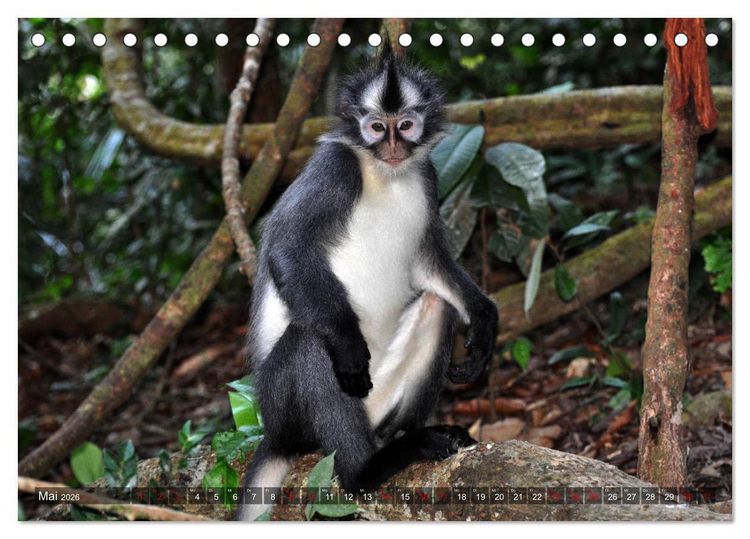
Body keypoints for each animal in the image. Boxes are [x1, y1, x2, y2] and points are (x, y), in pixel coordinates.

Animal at [236, 45, 498, 521]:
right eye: (376, 127)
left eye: (405, 125)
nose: (393, 145)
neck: (383, 173)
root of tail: (274, 436)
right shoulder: (335, 169)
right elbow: (289, 249)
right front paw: (350, 345)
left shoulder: (427, 176)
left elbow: (429, 262)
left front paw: (484, 320)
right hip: (285, 410)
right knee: (309, 341)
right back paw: (366, 469)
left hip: (381, 401)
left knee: (437, 304)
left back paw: (408, 438)